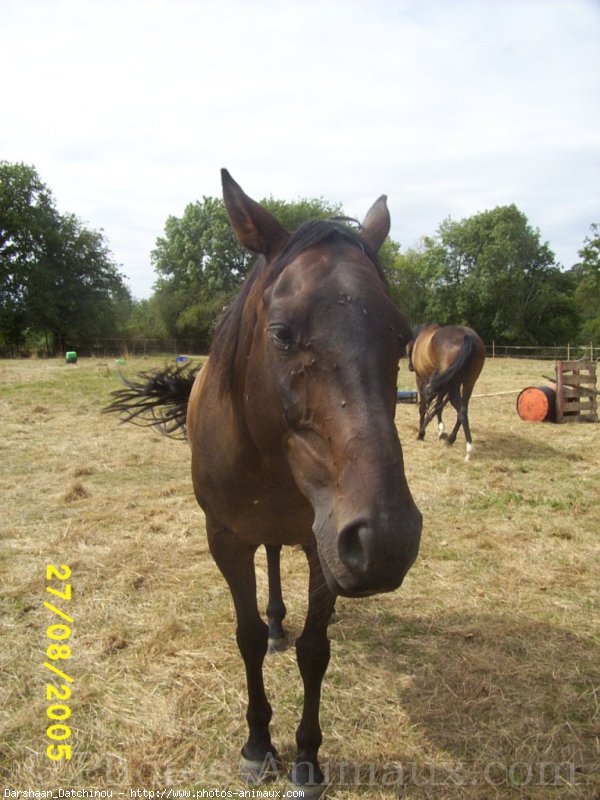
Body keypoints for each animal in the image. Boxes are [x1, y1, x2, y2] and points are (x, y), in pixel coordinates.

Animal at [105, 170, 422, 792]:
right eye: (280, 334)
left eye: (402, 337)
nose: (386, 540)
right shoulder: (226, 539)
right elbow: (246, 636)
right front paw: (257, 745)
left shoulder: (326, 546)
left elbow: (315, 650)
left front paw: (307, 758)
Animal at [408, 324, 488, 462]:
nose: (410, 367)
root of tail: (467, 336)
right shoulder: (443, 385)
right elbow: (438, 406)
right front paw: (441, 432)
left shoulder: (421, 379)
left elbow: (425, 407)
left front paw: (422, 433)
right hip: (468, 383)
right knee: (462, 410)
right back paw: (455, 442)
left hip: (452, 385)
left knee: (457, 409)